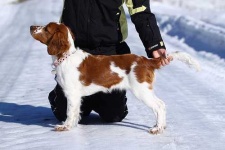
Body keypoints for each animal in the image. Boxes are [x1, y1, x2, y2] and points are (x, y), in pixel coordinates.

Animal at [29, 22, 200, 134]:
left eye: (46, 28)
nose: (31, 27)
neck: (66, 56)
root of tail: (146, 60)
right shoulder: (76, 96)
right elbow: (76, 113)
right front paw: (73, 125)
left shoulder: (72, 94)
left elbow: (70, 112)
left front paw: (64, 126)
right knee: (162, 105)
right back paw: (161, 126)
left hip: (141, 90)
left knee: (159, 105)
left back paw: (157, 128)